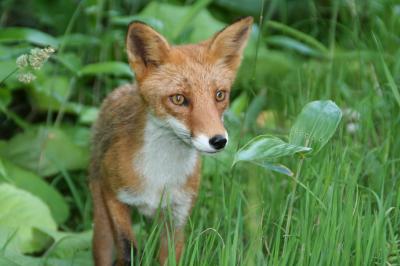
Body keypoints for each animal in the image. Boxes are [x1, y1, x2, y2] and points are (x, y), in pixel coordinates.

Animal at [90, 17, 253, 266]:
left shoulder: (177, 216)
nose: (219, 141)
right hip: (102, 226)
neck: (159, 176)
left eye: (219, 95)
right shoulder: (113, 195)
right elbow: (128, 250)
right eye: (178, 99)